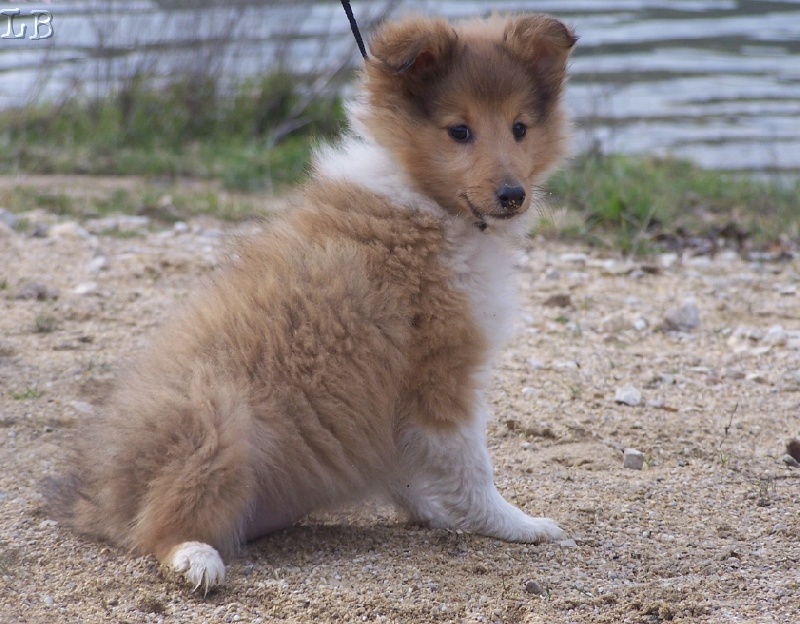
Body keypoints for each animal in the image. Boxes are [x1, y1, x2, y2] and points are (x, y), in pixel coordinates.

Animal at [51, 12, 576, 592]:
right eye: (459, 131)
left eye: (520, 127)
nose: (513, 196)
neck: (424, 194)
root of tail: (96, 498)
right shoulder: (440, 374)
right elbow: (472, 467)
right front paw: (515, 525)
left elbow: (410, 467)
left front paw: (439, 513)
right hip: (217, 414)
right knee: (156, 527)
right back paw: (197, 558)